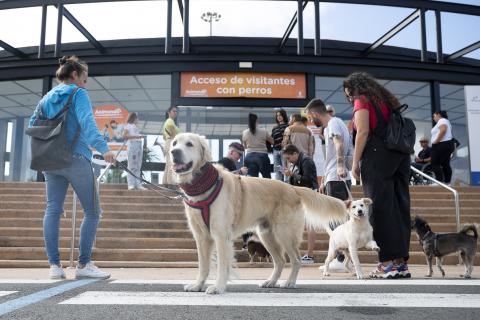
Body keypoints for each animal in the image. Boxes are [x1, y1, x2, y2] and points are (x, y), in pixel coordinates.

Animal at [171, 133, 346, 296]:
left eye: (189, 144)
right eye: (174, 143)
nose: (174, 152)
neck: (204, 185)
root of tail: (292, 188)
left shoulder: (221, 235)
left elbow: (222, 265)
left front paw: (218, 287)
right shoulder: (201, 237)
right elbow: (203, 265)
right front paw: (198, 285)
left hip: (284, 233)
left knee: (295, 260)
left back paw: (289, 282)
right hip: (266, 235)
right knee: (280, 261)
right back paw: (271, 281)